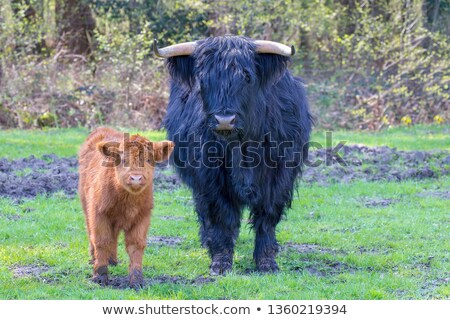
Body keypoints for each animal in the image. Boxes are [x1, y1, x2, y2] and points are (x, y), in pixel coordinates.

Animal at [79, 128, 174, 290]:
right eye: (123, 160)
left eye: (148, 160)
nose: (136, 178)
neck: (127, 202)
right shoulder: (99, 214)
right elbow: (101, 241)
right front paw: (100, 276)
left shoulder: (142, 217)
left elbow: (136, 245)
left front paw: (136, 280)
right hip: (86, 206)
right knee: (91, 232)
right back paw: (94, 258)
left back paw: (112, 260)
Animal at [155, 35, 312, 276]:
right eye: (204, 78)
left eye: (246, 77)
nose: (224, 120)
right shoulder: (210, 179)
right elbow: (222, 217)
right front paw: (220, 262)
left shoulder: (280, 176)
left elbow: (267, 217)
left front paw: (267, 262)